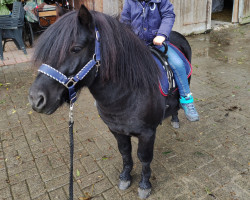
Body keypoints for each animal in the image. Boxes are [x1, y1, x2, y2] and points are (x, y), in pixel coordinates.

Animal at [28, 5, 191, 200]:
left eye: (76, 49)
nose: (36, 99)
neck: (127, 95)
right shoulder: (116, 130)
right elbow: (125, 153)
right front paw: (125, 177)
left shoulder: (147, 134)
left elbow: (144, 158)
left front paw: (144, 185)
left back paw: (177, 118)